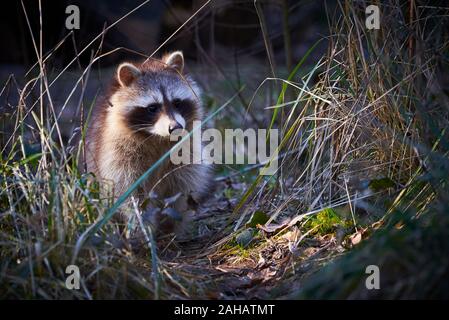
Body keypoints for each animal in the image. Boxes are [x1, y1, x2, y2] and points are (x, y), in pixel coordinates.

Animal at [86, 52, 212, 222]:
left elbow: (182, 184)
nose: (176, 128)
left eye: (177, 103)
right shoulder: (118, 152)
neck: (157, 137)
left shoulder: (187, 149)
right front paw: (142, 222)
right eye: (152, 108)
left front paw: (172, 222)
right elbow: (128, 190)